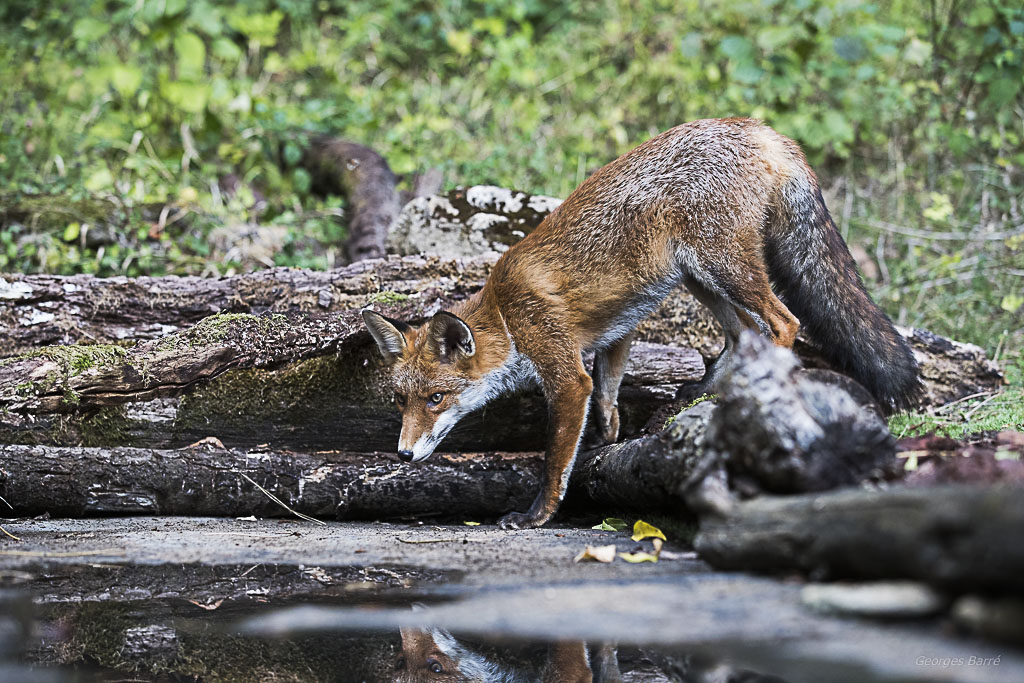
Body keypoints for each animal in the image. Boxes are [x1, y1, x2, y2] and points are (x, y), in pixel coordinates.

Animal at [362, 117, 921, 528]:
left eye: (436, 398)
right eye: (400, 401)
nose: (403, 456)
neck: (505, 315)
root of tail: (759, 128)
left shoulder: (564, 371)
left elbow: (554, 458)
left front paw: (537, 514)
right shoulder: (616, 331)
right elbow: (609, 395)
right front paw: (608, 440)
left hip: (723, 266)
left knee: (783, 324)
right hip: (701, 278)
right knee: (744, 333)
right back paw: (708, 395)